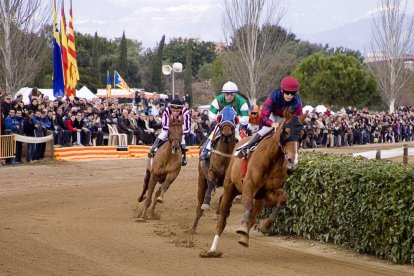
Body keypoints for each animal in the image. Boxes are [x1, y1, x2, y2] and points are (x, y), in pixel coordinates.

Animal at [190, 105, 236, 233]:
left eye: (235, 117)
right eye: (220, 116)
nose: (226, 134)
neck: (225, 155)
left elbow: (224, 196)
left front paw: (221, 212)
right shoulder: (211, 172)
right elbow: (211, 185)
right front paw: (206, 203)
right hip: (201, 179)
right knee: (199, 204)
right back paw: (193, 227)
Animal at [202, 109, 306, 256]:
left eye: (302, 134)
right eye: (286, 131)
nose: (293, 161)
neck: (271, 159)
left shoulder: (267, 193)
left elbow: (283, 198)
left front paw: (265, 225)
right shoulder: (249, 184)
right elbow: (247, 204)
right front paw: (242, 227)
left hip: (259, 200)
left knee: (254, 214)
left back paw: (244, 238)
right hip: (229, 188)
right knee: (222, 220)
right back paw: (212, 249)